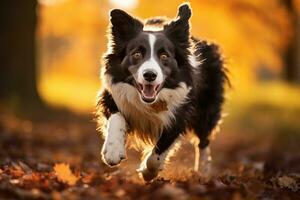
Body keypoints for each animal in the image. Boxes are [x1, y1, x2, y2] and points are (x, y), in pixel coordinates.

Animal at [96, 3, 227, 181]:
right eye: (137, 54)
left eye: (164, 56)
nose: (150, 75)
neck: (150, 102)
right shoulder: (111, 95)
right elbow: (116, 118)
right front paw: (113, 150)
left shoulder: (180, 115)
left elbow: (159, 151)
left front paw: (148, 172)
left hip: (206, 110)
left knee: (203, 140)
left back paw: (202, 170)